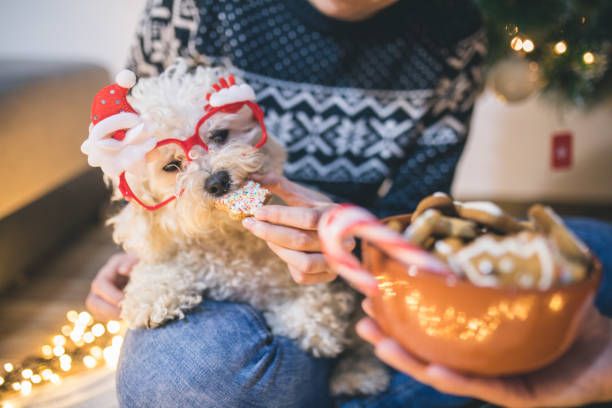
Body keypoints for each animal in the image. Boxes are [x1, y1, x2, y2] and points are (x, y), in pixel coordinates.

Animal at [101, 61, 388, 396]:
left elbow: (320, 302)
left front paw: (307, 325)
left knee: (361, 342)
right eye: (171, 166)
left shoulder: (324, 288)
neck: (230, 241)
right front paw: (150, 300)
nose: (217, 181)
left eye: (219, 135)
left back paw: (357, 374)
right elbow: (155, 270)